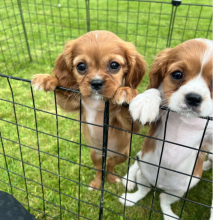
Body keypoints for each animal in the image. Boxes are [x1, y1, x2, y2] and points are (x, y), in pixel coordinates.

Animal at [31, 30, 146, 189]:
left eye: (114, 65)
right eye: (81, 66)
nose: (96, 83)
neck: (98, 102)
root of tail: (105, 153)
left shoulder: (130, 127)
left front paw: (126, 91)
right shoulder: (74, 103)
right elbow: (60, 89)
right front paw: (46, 79)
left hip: (122, 155)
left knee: (110, 164)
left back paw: (112, 178)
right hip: (95, 155)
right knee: (99, 169)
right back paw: (96, 184)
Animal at [119, 38, 212, 219]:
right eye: (177, 75)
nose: (193, 98)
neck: (185, 119)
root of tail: (159, 184)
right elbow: (155, 90)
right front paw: (146, 101)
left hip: (178, 191)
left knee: (163, 199)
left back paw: (169, 215)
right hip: (144, 174)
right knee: (143, 188)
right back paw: (130, 197)